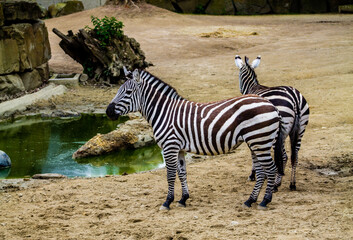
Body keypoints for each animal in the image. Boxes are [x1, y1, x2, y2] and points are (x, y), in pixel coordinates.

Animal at [105, 67, 284, 210]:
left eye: (128, 92)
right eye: (118, 90)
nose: (108, 112)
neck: (164, 112)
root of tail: (271, 105)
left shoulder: (169, 146)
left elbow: (170, 174)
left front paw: (167, 201)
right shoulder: (179, 149)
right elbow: (182, 173)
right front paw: (183, 199)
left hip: (260, 141)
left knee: (270, 169)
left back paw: (265, 201)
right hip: (256, 142)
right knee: (261, 172)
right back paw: (250, 200)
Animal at [235, 54, 310, 191]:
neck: (253, 87)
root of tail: (295, 97)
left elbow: (254, 154)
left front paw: (253, 175)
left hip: (280, 132)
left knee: (284, 156)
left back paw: (276, 184)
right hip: (300, 128)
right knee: (294, 156)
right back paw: (292, 183)